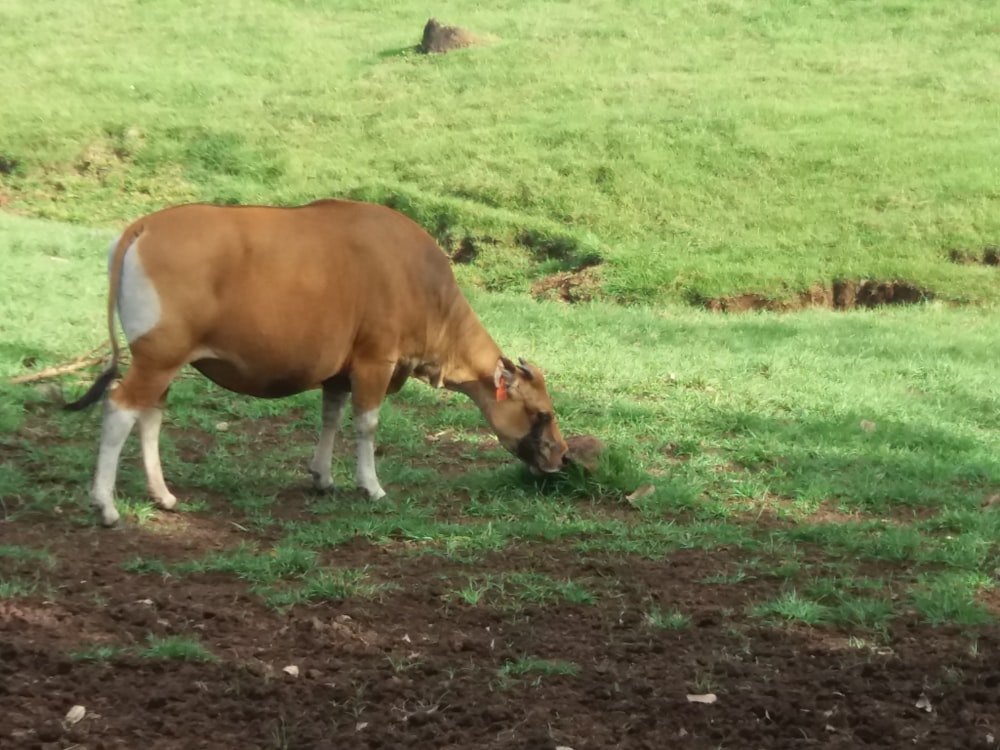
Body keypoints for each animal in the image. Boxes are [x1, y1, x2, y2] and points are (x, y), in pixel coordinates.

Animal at [68, 201, 572, 528]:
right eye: (541, 413)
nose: (561, 456)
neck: (424, 285)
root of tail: (144, 226)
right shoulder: (375, 361)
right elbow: (367, 425)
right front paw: (370, 486)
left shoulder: (338, 373)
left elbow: (330, 416)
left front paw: (323, 478)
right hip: (158, 356)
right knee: (120, 408)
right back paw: (105, 505)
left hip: (165, 362)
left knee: (150, 415)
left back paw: (163, 495)